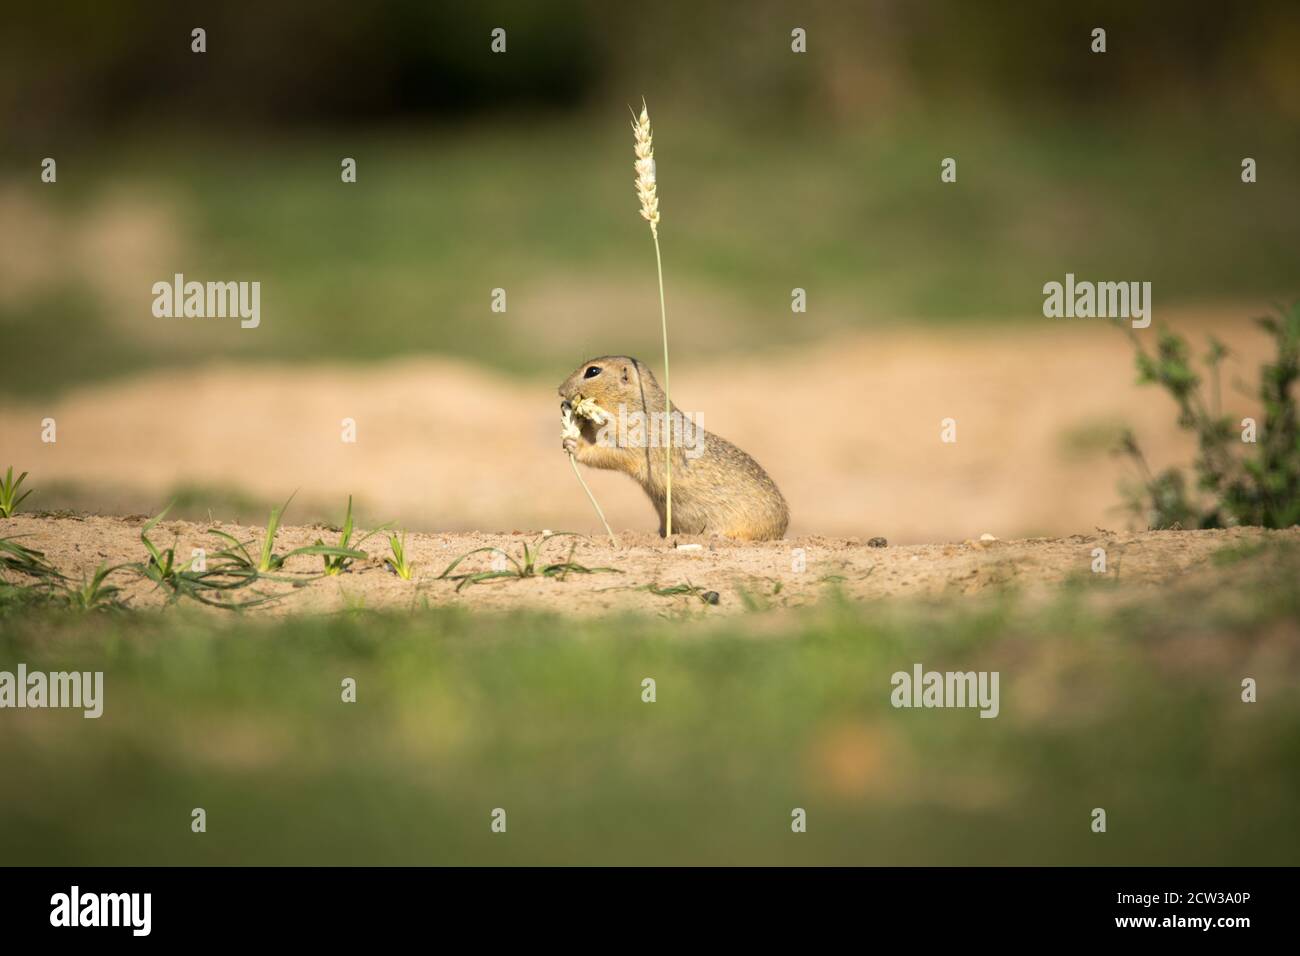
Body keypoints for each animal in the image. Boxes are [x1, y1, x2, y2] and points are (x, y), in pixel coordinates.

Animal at [556, 356, 785, 541]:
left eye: (593, 371)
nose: (560, 391)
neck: (632, 402)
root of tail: (782, 530)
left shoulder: (637, 440)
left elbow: (611, 454)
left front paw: (575, 443)